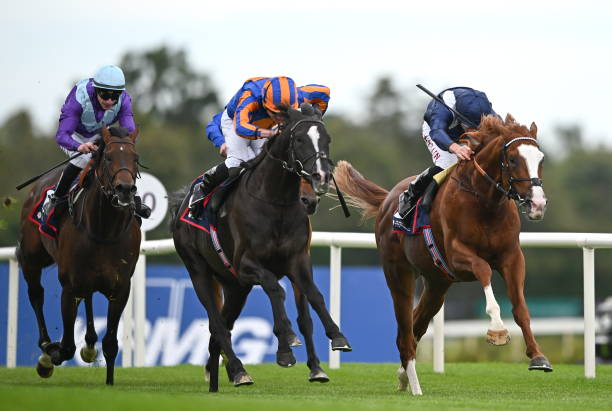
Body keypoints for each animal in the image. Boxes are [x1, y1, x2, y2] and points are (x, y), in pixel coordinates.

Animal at [17, 126, 142, 386]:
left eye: (135, 158)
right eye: (108, 158)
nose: (125, 190)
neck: (104, 229)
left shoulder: (120, 288)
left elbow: (111, 343)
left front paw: (109, 382)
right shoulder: (70, 287)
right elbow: (66, 347)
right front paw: (49, 356)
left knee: (89, 298)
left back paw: (90, 344)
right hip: (32, 259)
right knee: (36, 295)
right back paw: (46, 345)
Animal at [332, 115, 552, 396]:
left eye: (541, 159)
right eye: (513, 159)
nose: (537, 204)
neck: (485, 202)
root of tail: (387, 200)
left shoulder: (511, 257)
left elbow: (521, 307)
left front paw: (538, 357)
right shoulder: (457, 256)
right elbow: (483, 269)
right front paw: (497, 329)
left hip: (437, 283)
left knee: (416, 324)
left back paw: (403, 375)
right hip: (398, 274)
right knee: (405, 327)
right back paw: (415, 385)